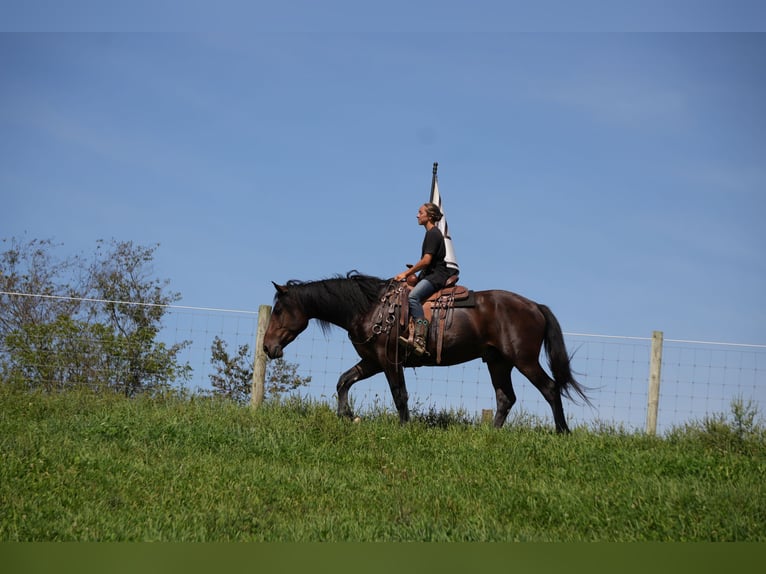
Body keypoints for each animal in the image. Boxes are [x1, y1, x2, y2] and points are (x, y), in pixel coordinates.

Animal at [262, 271, 589, 432]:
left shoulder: (389, 360)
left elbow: (399, 395)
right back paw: (491, 434)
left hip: (524, 360)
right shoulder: (372, 361)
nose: (267, 347)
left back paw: (562, 432)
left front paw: (404, 428)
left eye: (279, 310)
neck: (369, 307)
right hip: (498, 362)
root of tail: (535, 306)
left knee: (550, 388)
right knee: (505, 398)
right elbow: (344, 380)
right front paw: (348, 415)